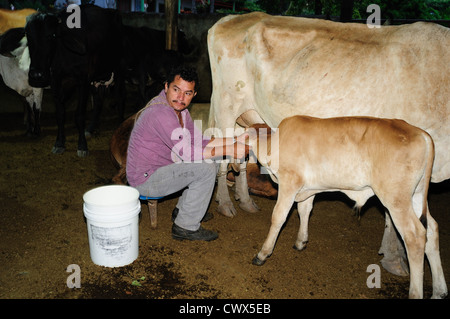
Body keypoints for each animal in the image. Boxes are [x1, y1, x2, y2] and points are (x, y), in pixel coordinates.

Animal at [24, 3, 125, 156]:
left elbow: (79, 115)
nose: (37, 75)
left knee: (120, 96)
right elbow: (60, 113)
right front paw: (59, 143)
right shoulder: (56, 80)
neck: (65, 54)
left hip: (118, 69)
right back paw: (91, 128)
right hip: (95, 79)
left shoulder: (83, 80)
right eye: (29, 37)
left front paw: (82, 146)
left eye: (52, 35)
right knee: (99, 102)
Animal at [248, 117, 448, 300]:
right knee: (431, 229)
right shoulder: (308, 189)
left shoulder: (290, 182)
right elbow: (304, 211)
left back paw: (416, 292)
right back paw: (440, 290)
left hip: (396, 199)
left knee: (415, 235)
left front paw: (262, 254)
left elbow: (278, 216)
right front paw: (300, 242)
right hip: (416, 196)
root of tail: (421, 133)